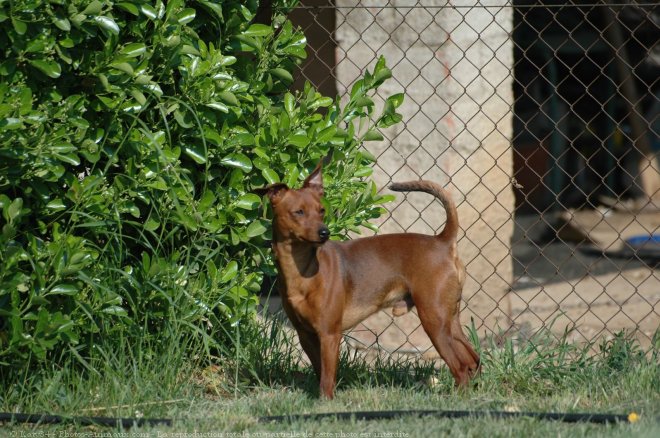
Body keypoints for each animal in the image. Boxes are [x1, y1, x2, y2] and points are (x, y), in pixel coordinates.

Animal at [258, 163, 480, 398]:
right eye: (298, 212)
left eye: (321, 211)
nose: (324, 232)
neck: (303, 267)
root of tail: (443, 241)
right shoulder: (305, 334)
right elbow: (320, 371)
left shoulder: (329, 334)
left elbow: (327, 377)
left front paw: (325, 401)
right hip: (449, 320)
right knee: (472, 360)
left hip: (434, 321)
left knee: (460, 365)